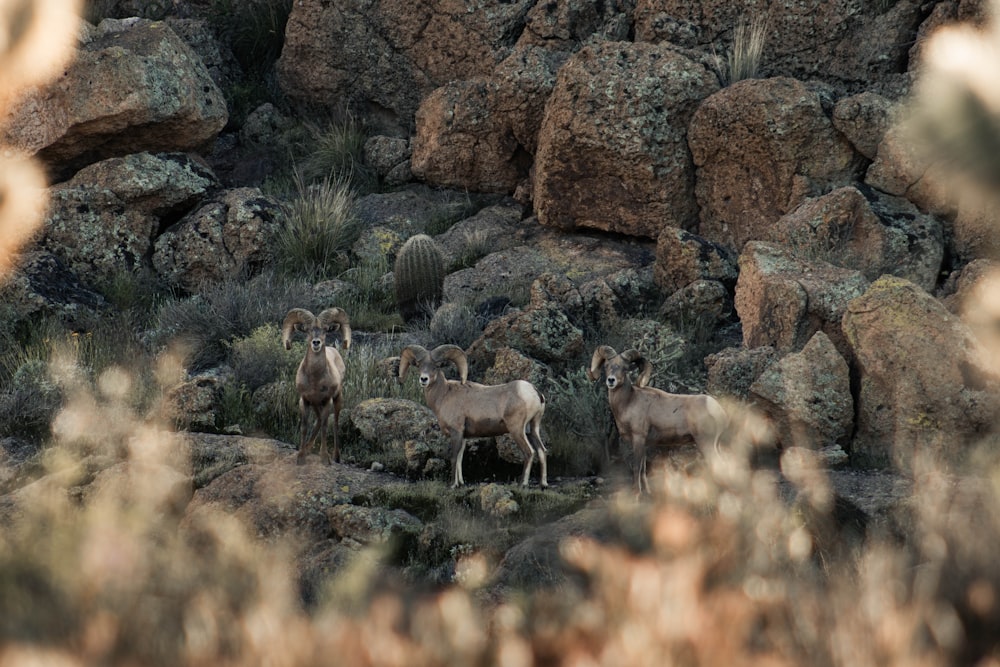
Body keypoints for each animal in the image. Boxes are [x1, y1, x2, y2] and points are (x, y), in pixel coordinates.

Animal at [282, 308, 352, 464]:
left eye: (325, 330)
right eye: (307, 330)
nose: (316, 342)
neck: (315, 378)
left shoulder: (327, 401)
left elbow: (325, 427)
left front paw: (324, 458)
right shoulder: (305, 400)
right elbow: (304, 426)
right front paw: (301, 456)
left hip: (337, 399)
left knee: (335, 423)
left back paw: (336, 457)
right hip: (315, 404)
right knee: (318, 421)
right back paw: (308, 448)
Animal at [396, 348, 548, 488]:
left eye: (436, 366)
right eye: (419, 365)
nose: (424, 379)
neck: (444, 395)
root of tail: (535, 392)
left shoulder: (456, 432)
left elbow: (453, 457)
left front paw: (453, 485)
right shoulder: (463, 436)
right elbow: (459, 459)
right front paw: (461, 483)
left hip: (517, 430)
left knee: (529, 452)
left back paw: (522, 484)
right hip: (533, 428)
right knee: (542, 451)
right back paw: (543, 484)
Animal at [588, 348, 732, 494]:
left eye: (625, 368)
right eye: (606, 366)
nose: (611, 380)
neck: (629, 401)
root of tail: (719, 410)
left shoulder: (638, 439)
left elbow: (637, 468)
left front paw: (636, 493)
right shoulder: (644, 443)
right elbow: (643, 469)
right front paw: (647, 492)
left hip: (706, 444)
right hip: (716, 445)